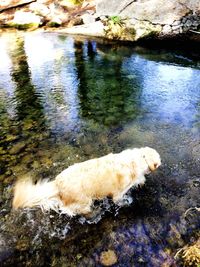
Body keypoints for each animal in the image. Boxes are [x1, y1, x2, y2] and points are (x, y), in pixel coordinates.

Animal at [12, 148, 161, 217]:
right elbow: (119, 200)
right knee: (75, 210)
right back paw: (94, 213)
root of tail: (57, 183)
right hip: (84, 201)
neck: (138, 159)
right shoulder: (118, 194)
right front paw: (126, 202)